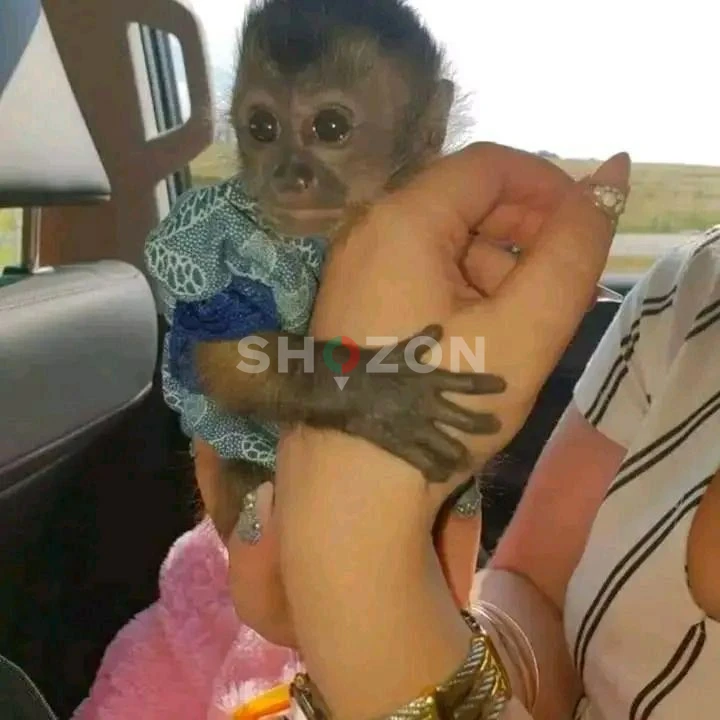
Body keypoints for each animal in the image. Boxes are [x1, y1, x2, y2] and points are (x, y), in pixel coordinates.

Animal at [145, 0, 496, 541]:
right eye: (262, 127)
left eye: (330, 128)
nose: (289, 176)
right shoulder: (218, 231)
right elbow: (229, 350)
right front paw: (371, 391)